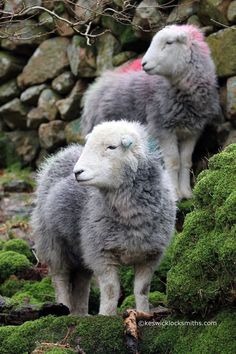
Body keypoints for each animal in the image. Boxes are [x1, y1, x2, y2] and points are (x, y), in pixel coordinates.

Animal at [30, 119, 175, 316]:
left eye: (111, 147)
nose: (77, 172)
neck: (130, 217)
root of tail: (66, 151)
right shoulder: (101, 253)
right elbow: (111, 289)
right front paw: (106, 316)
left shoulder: (150, 254)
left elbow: (142, 289)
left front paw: (144, 313)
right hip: (54, 241)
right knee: (60, 278)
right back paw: (64, 307)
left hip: (81, 246)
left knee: (82, 280)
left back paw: (81, 313)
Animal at [81, 24, 221, 201]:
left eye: (169, 42)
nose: (144, 63)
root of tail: (96, 86)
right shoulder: (163, 128)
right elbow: (173, 161)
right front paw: (175, 194)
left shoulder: (193, 130)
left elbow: (186, 161)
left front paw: (187, 193)